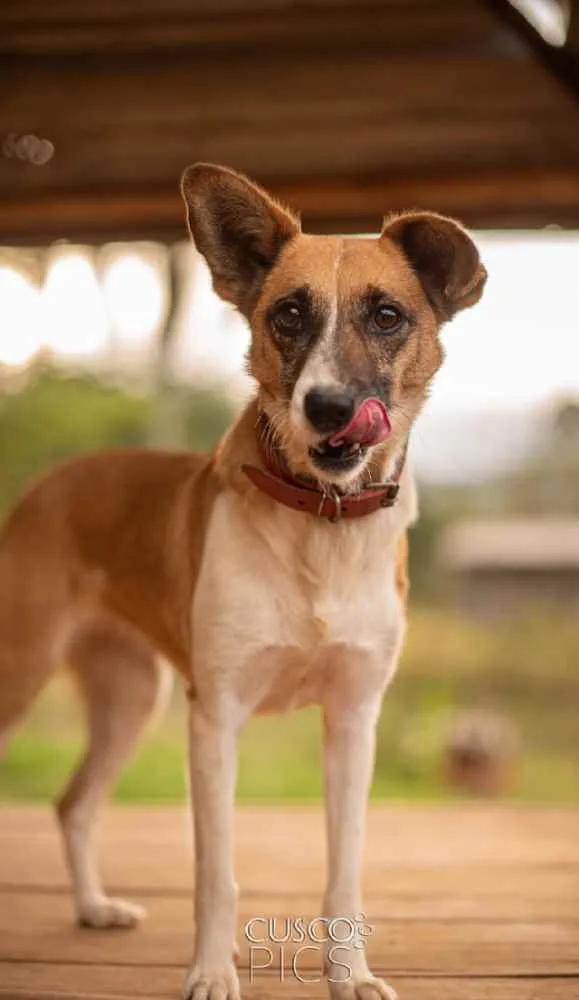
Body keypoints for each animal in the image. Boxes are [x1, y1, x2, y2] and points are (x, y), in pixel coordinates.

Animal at [0, 164, 488, 1000]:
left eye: (386, 316)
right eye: (287, 313)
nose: (327, 407)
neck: (322, 523)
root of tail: (49, 482)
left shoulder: (353, 720)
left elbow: (344, 869)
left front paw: (350, 973)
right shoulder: (214, 717)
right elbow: (215, 873)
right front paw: (209, 971)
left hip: (130, 696)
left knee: (73, 804)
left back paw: (94, 907)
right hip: (24, 669)